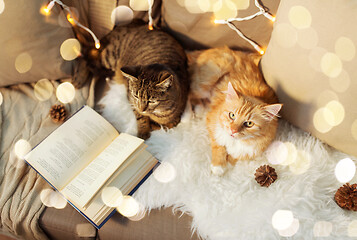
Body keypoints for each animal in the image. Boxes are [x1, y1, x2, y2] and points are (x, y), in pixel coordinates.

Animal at [188, 46, 282, 175]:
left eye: (249, 124)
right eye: (232, 115)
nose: (233, 130)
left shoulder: (252, 150)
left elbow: (236, 156)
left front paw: (228, 163)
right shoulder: (213, 123)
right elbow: (219, 146)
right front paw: (218, 166)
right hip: (206, 82)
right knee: (188, 94)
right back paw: (193, 113)